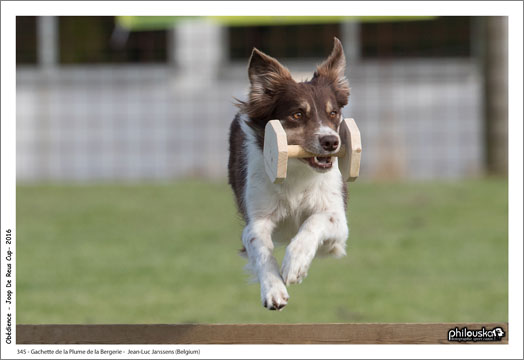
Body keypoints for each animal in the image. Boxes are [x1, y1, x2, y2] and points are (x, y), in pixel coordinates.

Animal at [227, 38, 350, 310]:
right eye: (297, 114)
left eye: (333, 113)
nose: (331, 142)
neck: (298, 170)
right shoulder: (256, 219)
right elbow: (260, 248)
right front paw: (273, 289)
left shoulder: (338, 224)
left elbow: (314, 222)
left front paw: (295, 264)